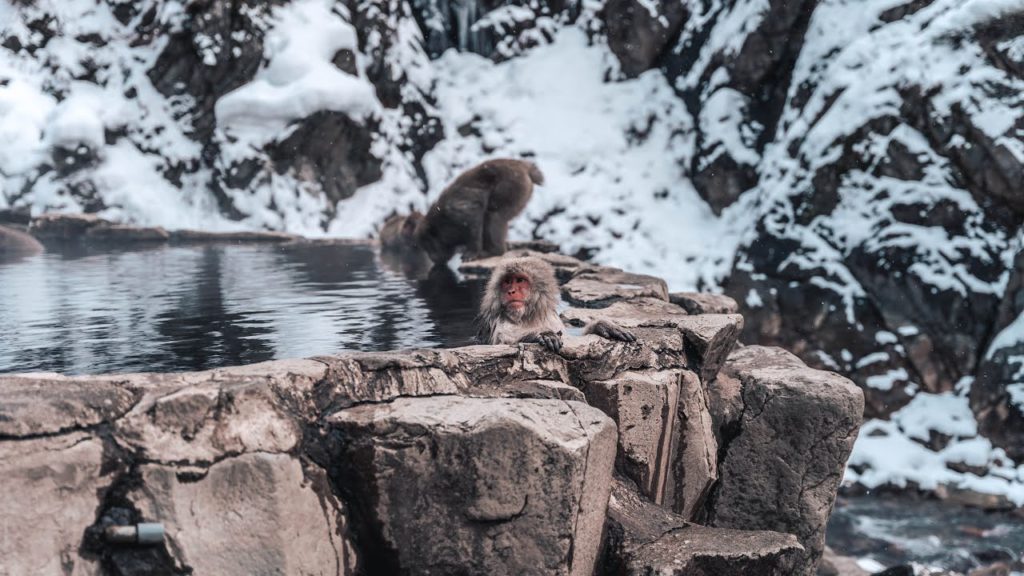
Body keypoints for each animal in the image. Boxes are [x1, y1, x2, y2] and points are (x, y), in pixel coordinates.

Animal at [378, 158, 543, 265]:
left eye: (427, 246)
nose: (432, 259)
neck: (442, 225)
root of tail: (524, 166)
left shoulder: (455, 213)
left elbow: (474, 218)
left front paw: (472, 252)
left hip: (513, 185)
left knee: (492, 214)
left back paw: (494, 251)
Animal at [478, 256, 637, 352]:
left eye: (520, 280)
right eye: (507, 282)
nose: (511, 291)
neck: (528, 316)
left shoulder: (552, 319)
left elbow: (571, 339)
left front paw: (603, 326)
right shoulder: (499, 321)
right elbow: (503, 341)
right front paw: (542, 334)